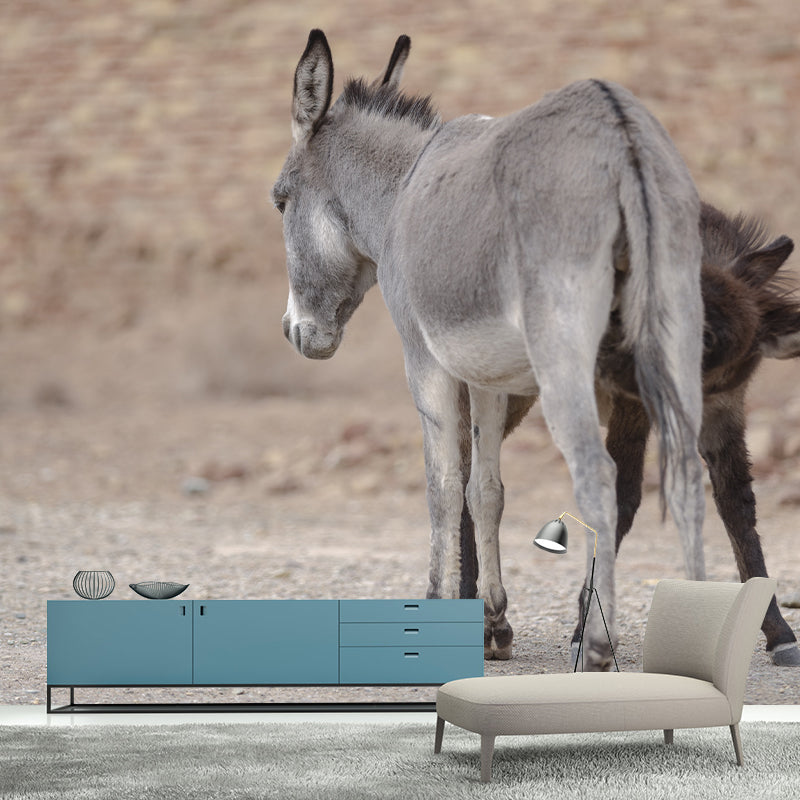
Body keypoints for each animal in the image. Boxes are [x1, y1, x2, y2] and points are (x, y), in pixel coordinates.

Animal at [273, 30, 707, 669]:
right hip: (677, 330)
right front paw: (492, 621)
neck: (402, 192)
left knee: (597, 476)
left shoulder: (424, 361)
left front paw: (433, 607)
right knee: (690, 474)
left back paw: (599, 647)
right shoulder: (486, 377)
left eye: (280, 202)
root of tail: (621, 132)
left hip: (564, 356)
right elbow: (486, 491)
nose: (295, 333)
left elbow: (442, 487)